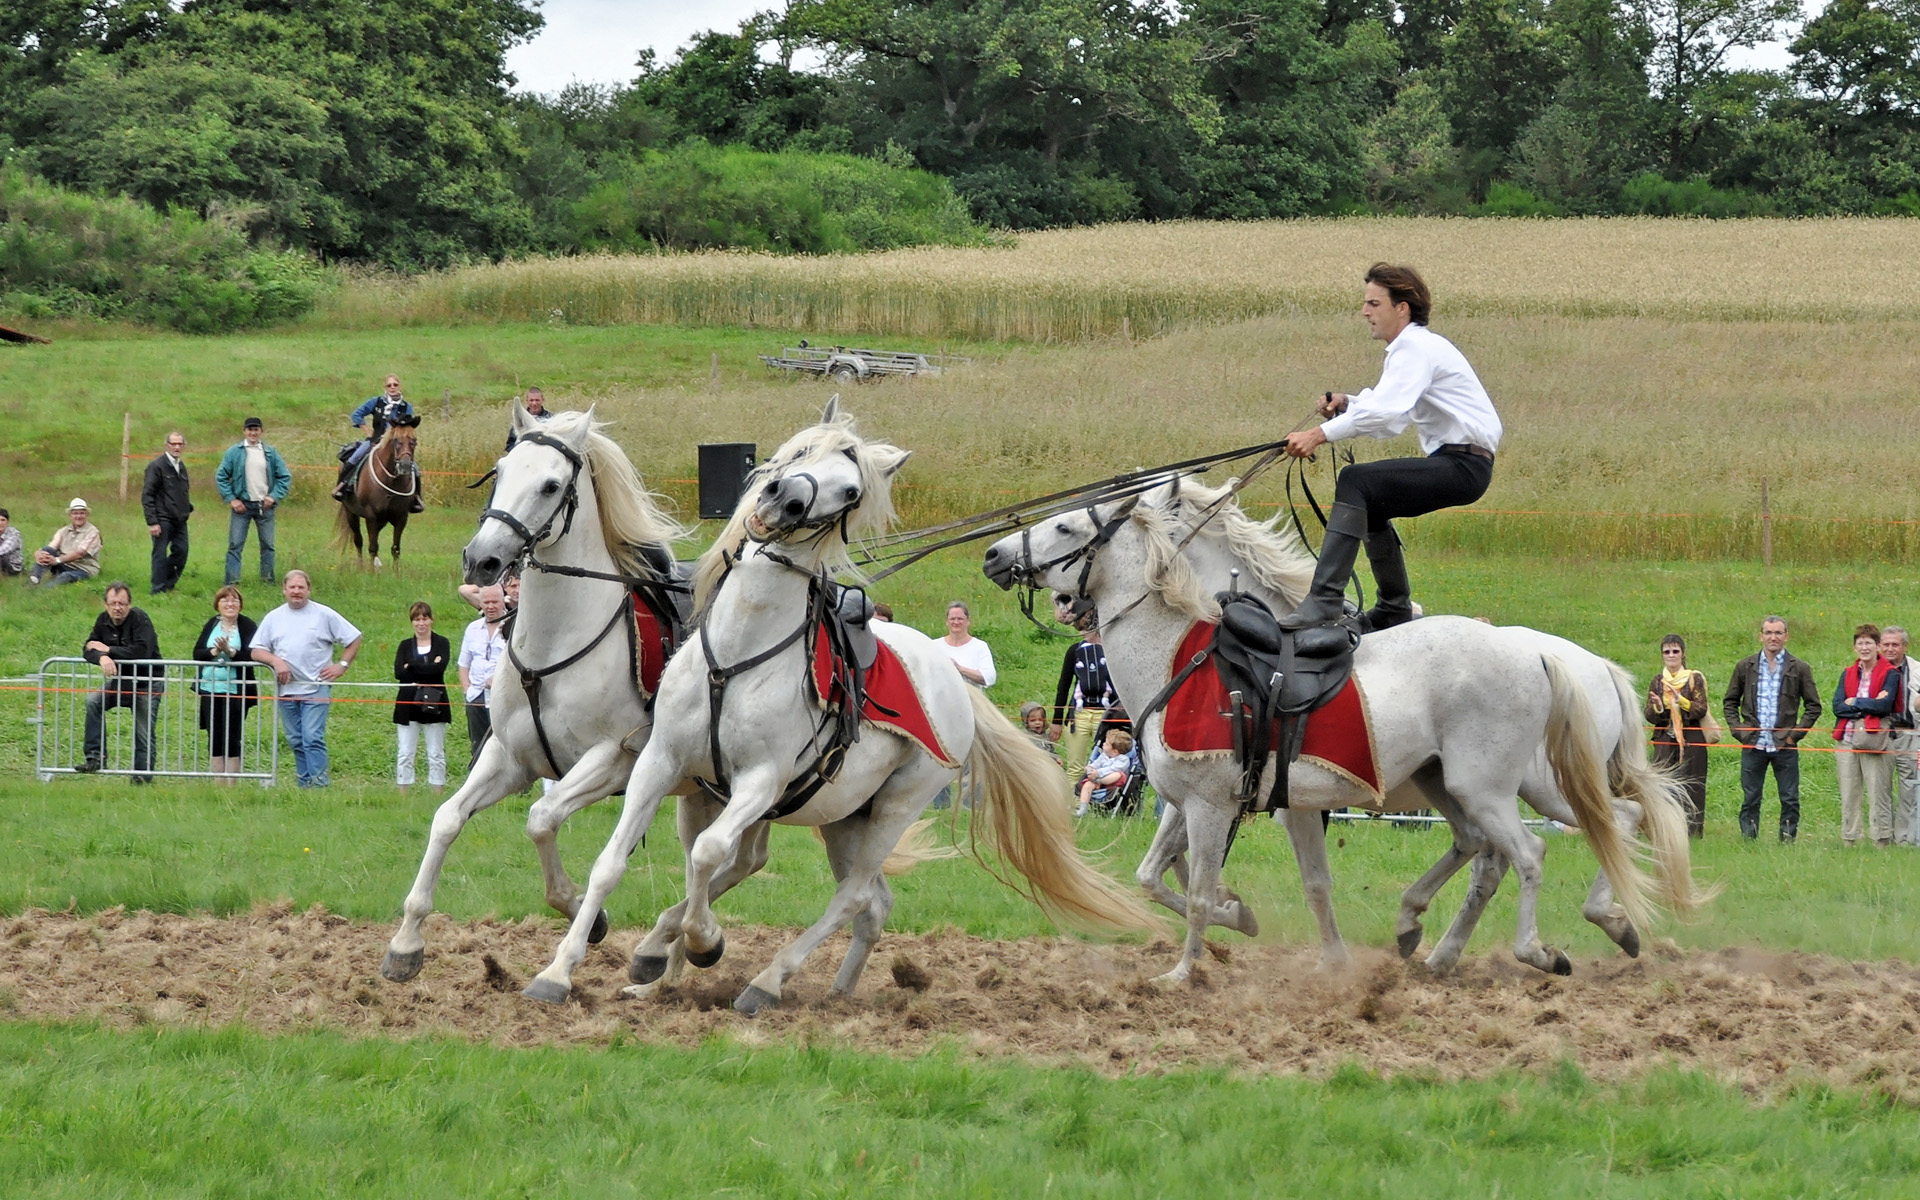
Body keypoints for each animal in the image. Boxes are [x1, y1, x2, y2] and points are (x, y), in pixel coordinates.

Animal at [336, 416, 420, 569]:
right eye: (396, 440)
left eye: (414, 441)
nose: (405, 466)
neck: (391, 481)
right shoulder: (371, 516)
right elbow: (373, 547)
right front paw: (371, 571)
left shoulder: (401, 517)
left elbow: (396, 549)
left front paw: (396, 572)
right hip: (351, 513)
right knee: (359, 540)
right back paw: (361, 567)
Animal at [379, 405, 690, 983]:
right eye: (500, 471)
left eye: (550, 485)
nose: (480, 559)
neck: (555, 646)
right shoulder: (509, 757)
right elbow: (447, 819)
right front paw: (407, 941)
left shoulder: (611, 761)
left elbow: (542, 820)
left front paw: (581, 914)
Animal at [521, 399, 1160, 1012]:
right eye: (801, 451)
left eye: (851, 491)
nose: (784, 499)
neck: (739, 652)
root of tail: (950, 676)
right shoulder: (660, 762)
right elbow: (613, 861)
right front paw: (559, 971)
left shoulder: (759, 782)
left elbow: (707, 854)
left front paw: (702, 941)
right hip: (843, 816)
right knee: (871, 902)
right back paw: (824, 987)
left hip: (894, 808)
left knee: (849, 895)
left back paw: (765, 983)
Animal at [982, 476, 1707, 986]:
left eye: (1066, 525)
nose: (993, 554)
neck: (1185, 656)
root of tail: (1544, 657)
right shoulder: (1213, 805)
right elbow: (1166, 878)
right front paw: (1256, 925)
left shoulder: (1215, 806)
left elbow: (1194, 892)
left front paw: (1184, 971)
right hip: (1487, 788)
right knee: (1569, 831)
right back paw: (1465, 941)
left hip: (1496, 788)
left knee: (1532, 852)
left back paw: (1538, 949)